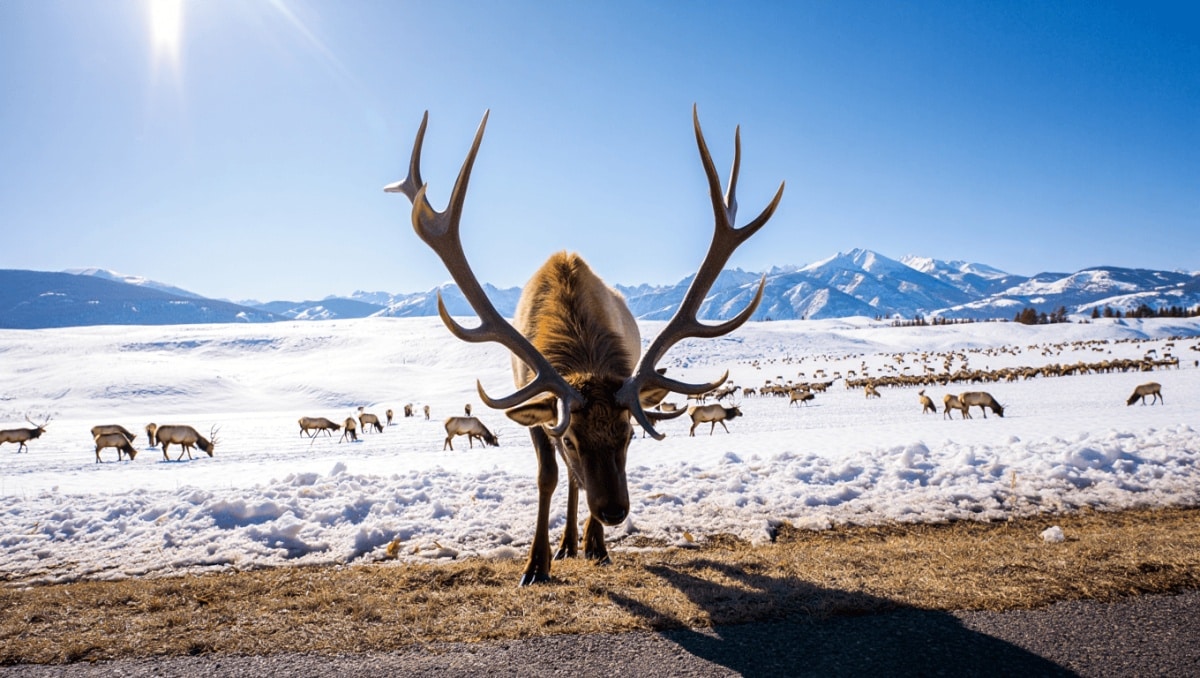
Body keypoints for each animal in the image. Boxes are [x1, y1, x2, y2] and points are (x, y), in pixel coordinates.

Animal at [385, 106, 781, 585]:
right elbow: (549, 476)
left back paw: (582, 541)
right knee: (569, 481)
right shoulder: (537, 408)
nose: (614, 511)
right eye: (572, 440)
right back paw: (566, 543)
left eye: (628, 434)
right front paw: (535, 564)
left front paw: (595, 544)